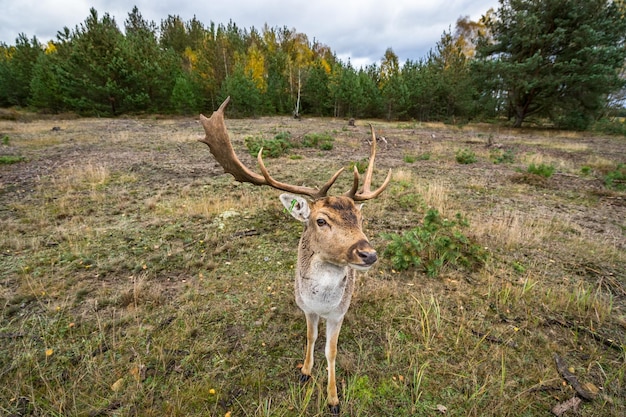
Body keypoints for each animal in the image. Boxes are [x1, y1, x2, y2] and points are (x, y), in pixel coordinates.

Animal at [197, 97, 388, 412]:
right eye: (321, 220)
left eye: (360, 218)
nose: (368, 254)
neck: (321, 304)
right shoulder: (306, 307)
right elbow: (311, 337)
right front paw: (305, 372)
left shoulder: (338, 313)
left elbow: (331, 350)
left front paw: (333, 399)